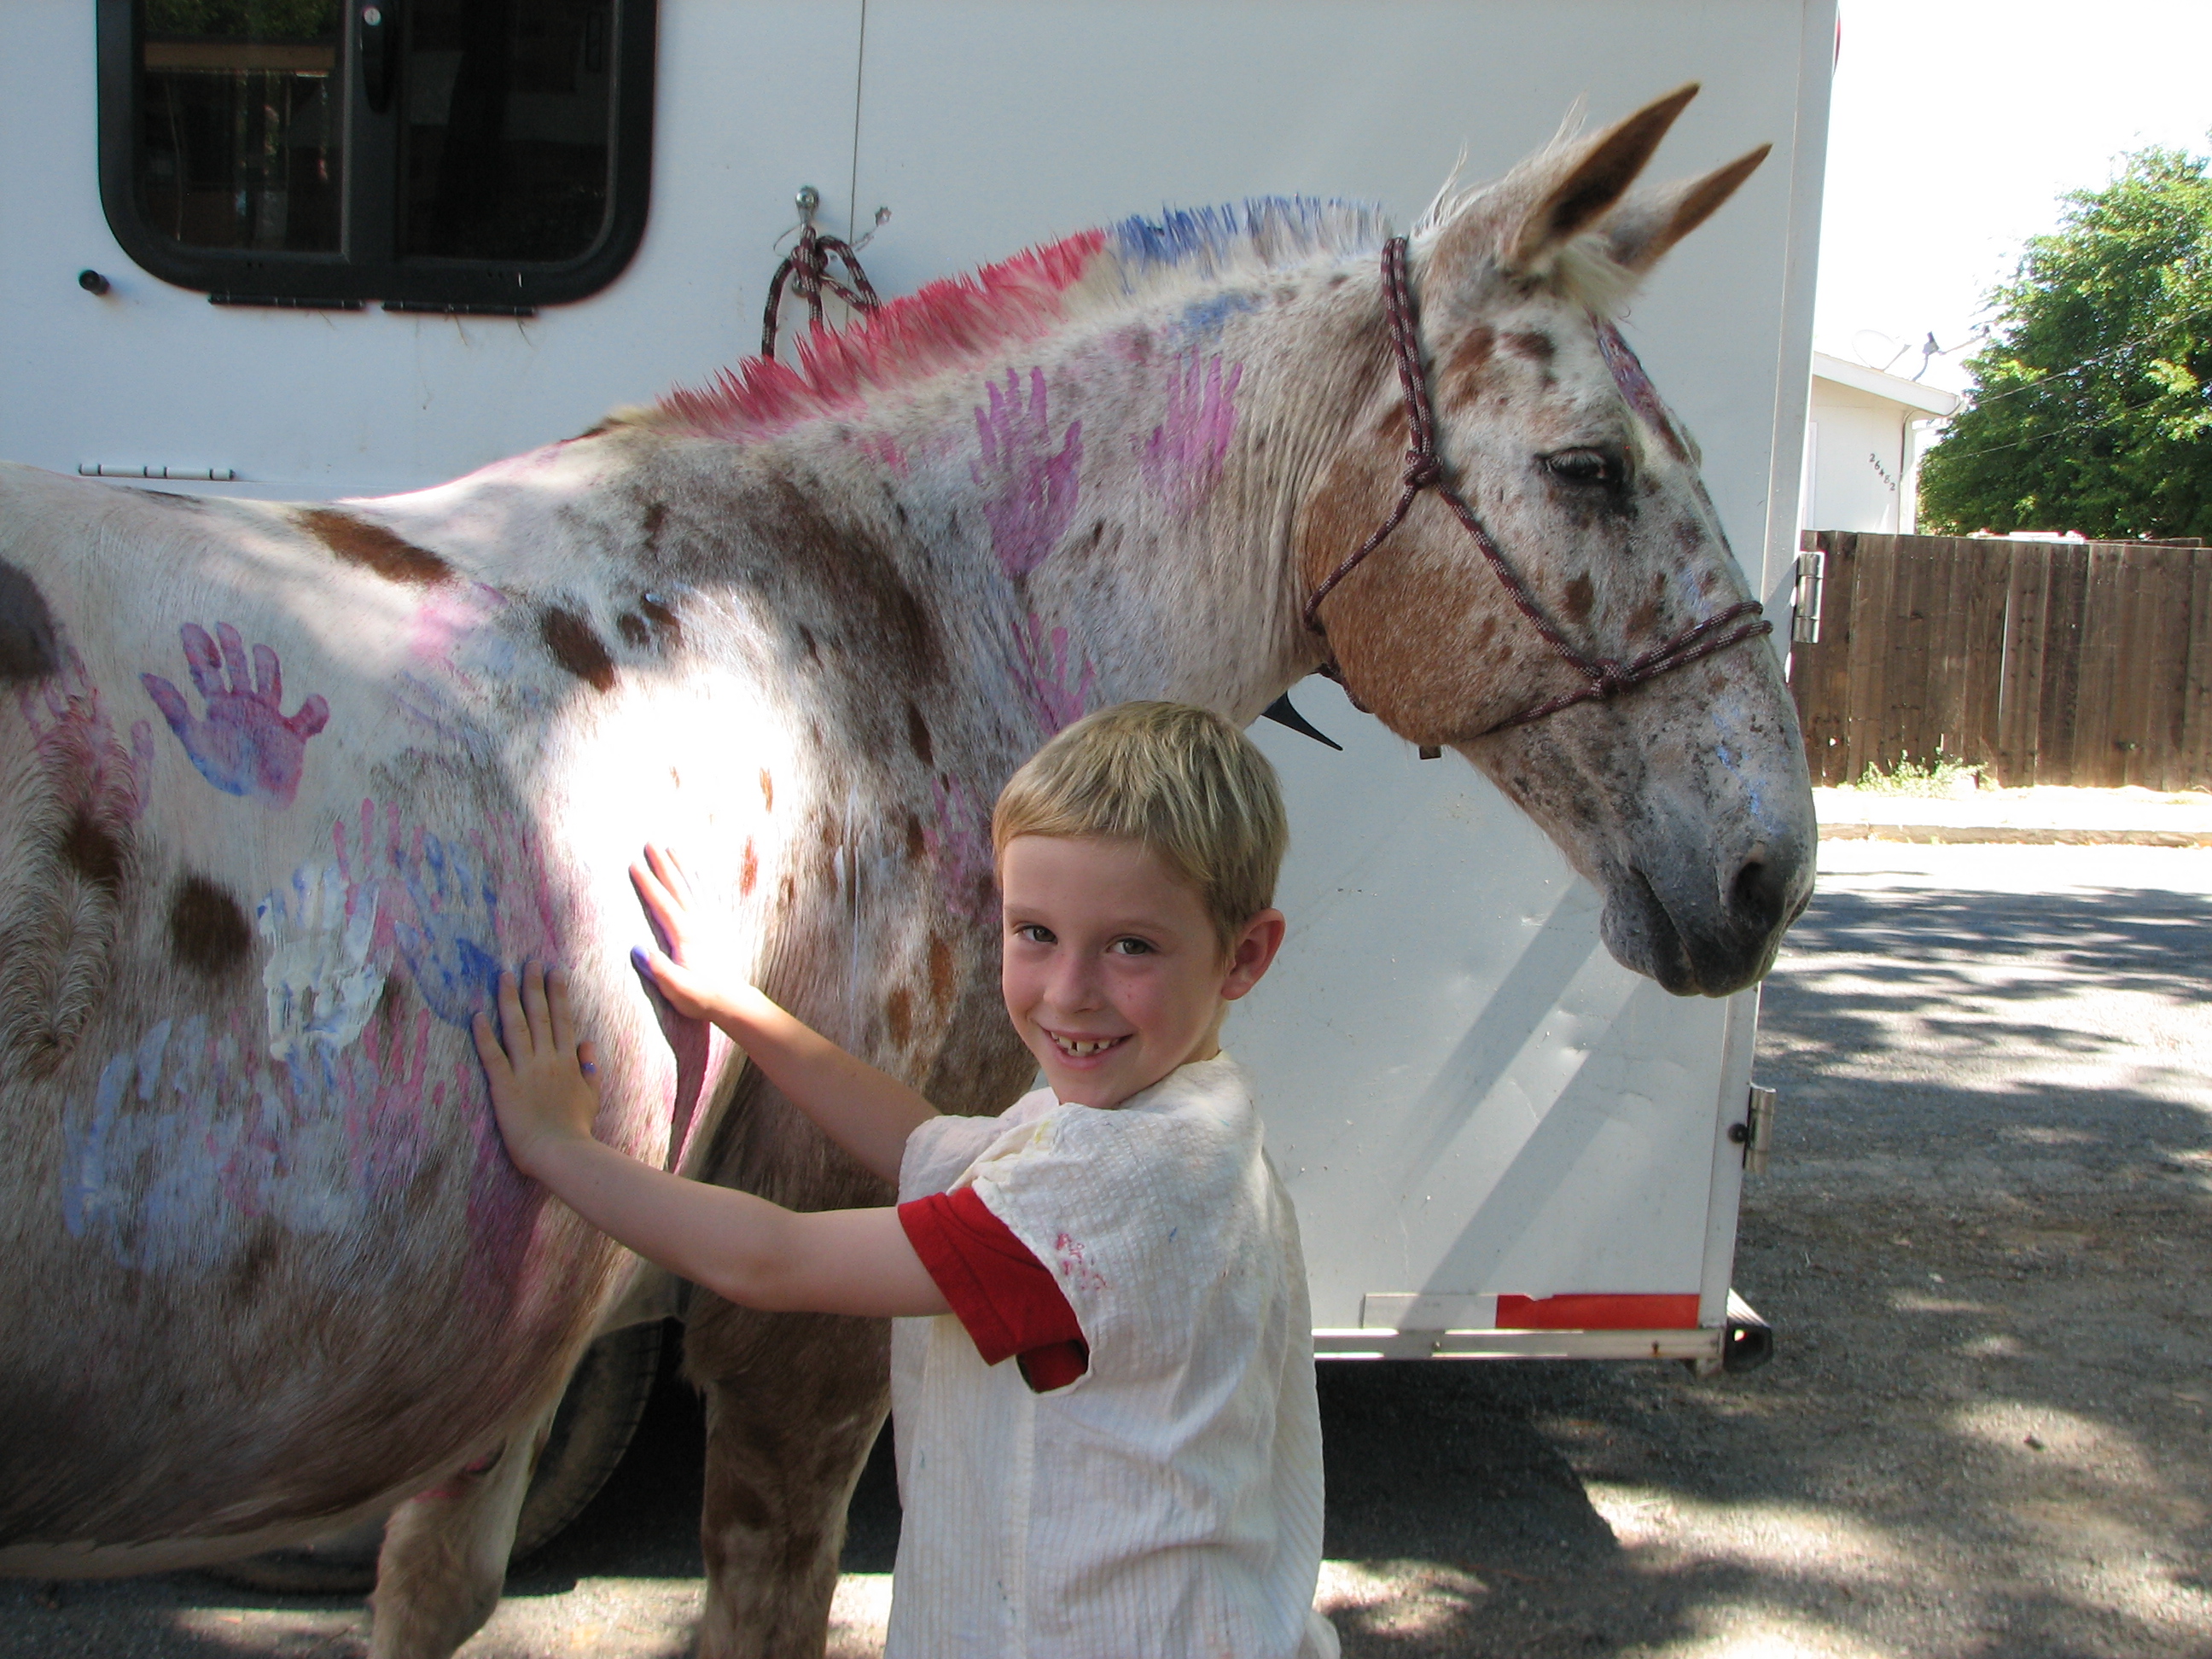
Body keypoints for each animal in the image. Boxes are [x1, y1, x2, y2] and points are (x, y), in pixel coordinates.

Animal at [0, 84, 1812, 1657]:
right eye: (1589, 467)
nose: (1765, 870)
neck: (889, 606)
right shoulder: (797, 1327)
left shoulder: (516, 1347)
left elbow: (435, 1589)